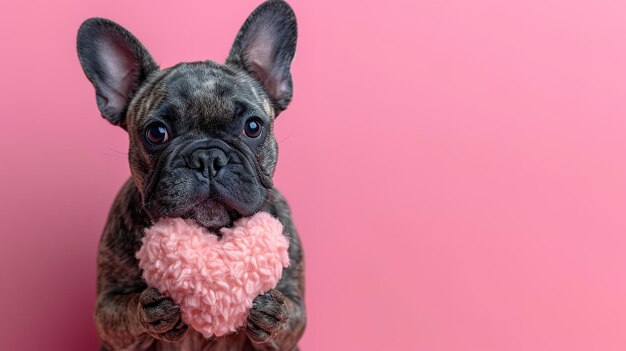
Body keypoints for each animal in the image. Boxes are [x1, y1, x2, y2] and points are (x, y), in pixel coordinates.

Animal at [77, 1, 306, 350]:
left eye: (253, 127)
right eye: (156, 133)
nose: (207, 158)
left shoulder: (297, 310)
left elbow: (289, 314)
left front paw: (270, 311)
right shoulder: (107, 310)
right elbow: (124, 309)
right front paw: (151, 308)